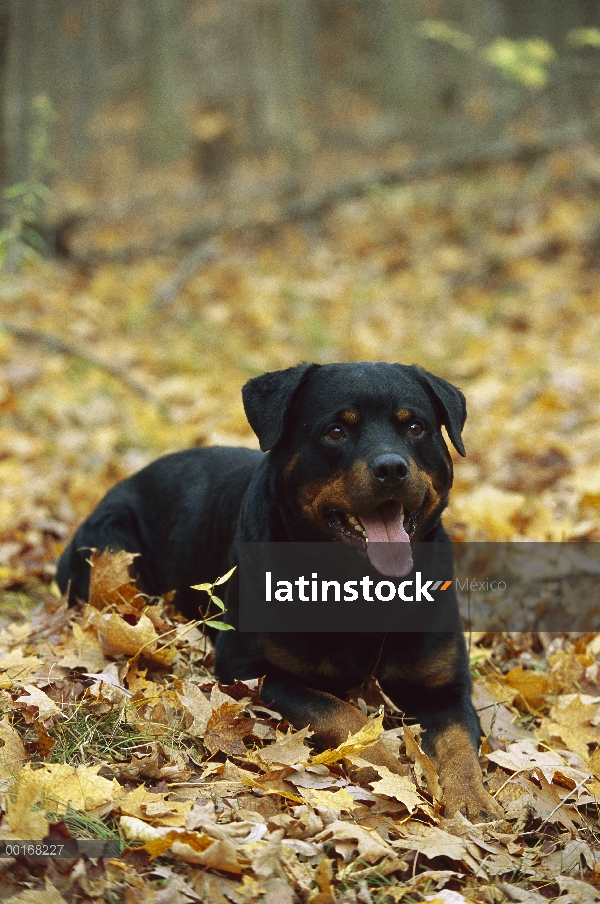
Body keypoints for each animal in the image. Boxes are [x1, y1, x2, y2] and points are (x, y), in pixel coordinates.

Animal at [57, 364, 502, 824]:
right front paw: (388, 765)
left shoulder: (446, 688)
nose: (392, 468)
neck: (359, 586)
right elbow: (342, 713)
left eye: (415, 427)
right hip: (112, 547)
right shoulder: (250, 671)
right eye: (336, 431)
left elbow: (459, 743)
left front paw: (473, 800)